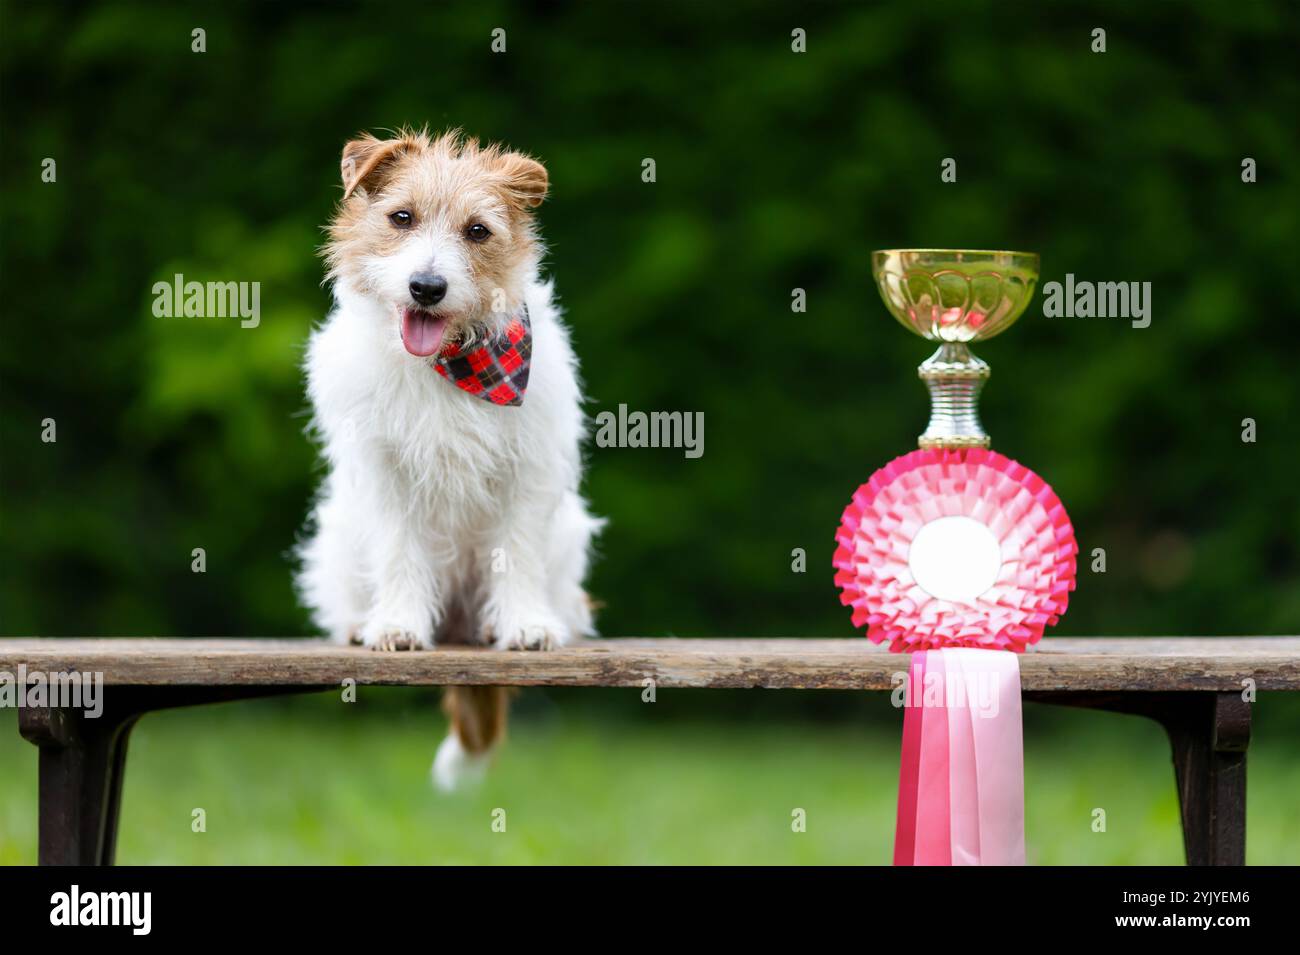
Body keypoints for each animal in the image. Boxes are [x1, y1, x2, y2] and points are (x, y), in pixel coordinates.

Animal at [297, 130, 600, 789]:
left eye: (478, 231)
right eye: (401, 218)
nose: (426, 287)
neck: (450, 364)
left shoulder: (529, 471)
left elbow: (518, 552)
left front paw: (524, 624)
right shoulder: (382, 472)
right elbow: (398, 551)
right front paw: (396, 625)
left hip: (569, 532)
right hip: (337, 532)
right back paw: (360, 621)